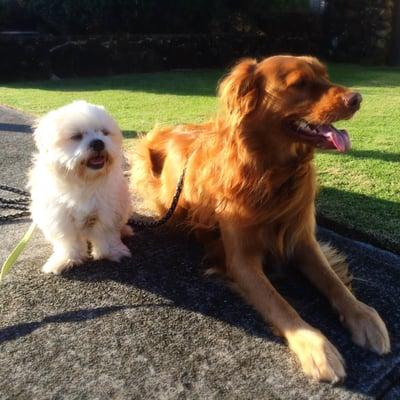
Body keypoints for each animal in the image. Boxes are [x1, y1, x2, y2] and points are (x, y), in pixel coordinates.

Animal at [30, 101, 133, 276]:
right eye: (76, 136)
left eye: (104, 132)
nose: (98, 142)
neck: (85, 181)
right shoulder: (60, 215)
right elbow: (68, 239)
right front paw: (66, 259)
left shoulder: (107, 210)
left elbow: (107, 233)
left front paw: (112, 252)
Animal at [132, 55, 390, 382]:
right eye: (300, 84)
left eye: (325, 75)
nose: (357, 98)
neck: (271, 173)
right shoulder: (241, 261)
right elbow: (281, 305)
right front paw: (316, 347)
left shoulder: (303, 240)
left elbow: (333, 283)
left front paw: (363, 316)